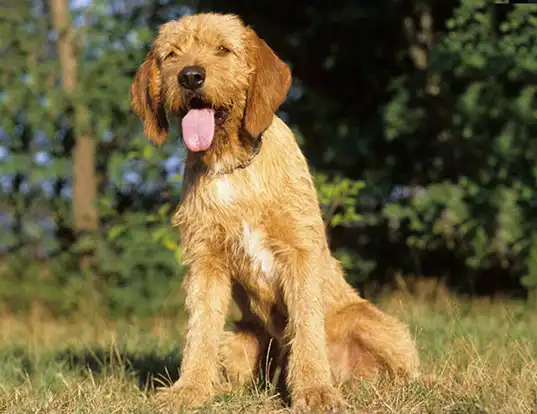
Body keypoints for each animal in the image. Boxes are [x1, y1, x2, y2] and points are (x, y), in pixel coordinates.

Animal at [131, 12, 418, 410]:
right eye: (171, 54)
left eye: (224, 49)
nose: (190, 76)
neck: (232, 166)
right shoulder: (206, 261)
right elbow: (200, 329)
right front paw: (189, 389)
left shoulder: (299, 252)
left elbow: (306, 325)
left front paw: (315, 391)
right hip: (238, 341)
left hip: (373, 322)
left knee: (407, 369)